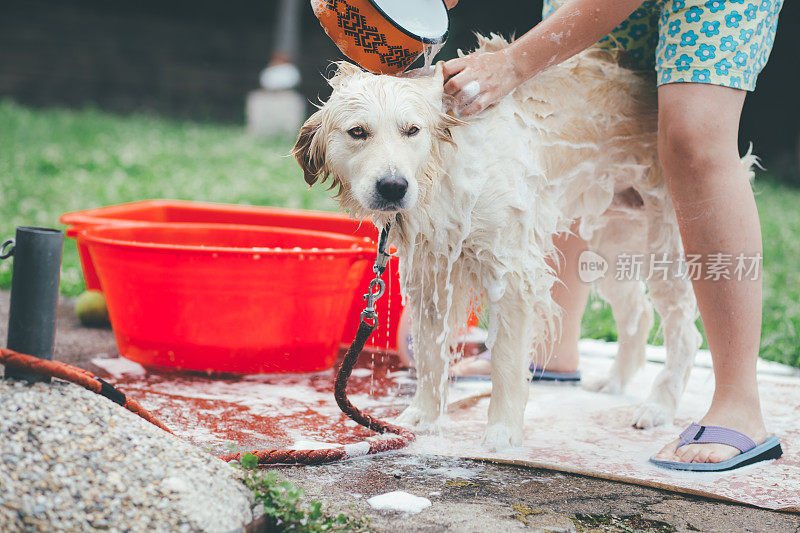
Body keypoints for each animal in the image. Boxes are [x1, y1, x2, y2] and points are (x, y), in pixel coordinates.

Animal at [294, 34, 756, 448]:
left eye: (412, 130)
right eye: (358, 132)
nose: (393, 187)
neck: (444, 169)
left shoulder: (511, 274)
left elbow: (505, 360)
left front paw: (501, 431)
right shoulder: (431, 274)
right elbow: (429, 353)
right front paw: (421, 418)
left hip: (667, 240)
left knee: (684, 332)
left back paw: (658, 406)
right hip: (610, 241)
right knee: (638, 313)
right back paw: (616, 380)